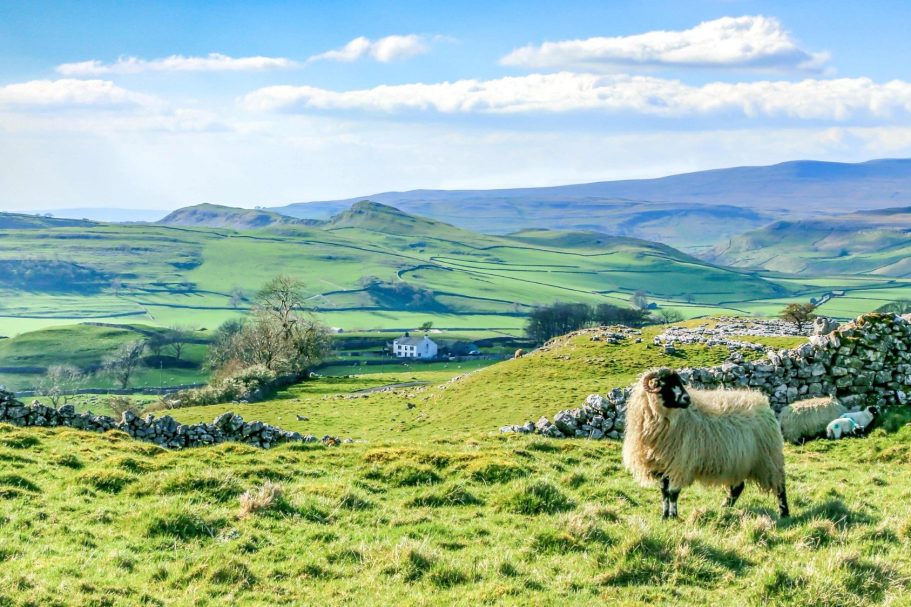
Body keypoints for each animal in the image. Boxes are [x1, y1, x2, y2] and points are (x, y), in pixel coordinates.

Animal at [620, 368, 792, 520]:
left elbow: (673, 493)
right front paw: (664, 516)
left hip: (768, 458)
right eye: (664, 383)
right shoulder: (663, 466)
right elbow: (664, 493)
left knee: (780, 486)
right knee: (737, 488)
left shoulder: (680, 464)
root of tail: (763, 403)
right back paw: (725, 507)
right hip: (739, 461)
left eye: (679, 382)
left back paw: (784, 513)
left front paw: (673, 516)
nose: (687, 399)